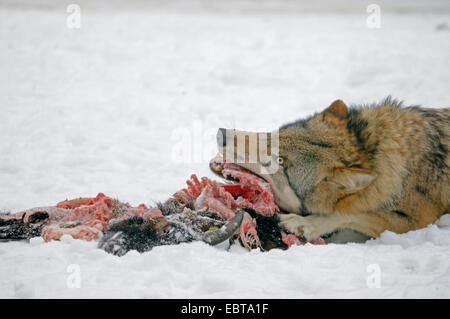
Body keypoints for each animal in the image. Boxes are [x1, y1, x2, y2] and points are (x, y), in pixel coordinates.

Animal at [216, 99, 448, 241]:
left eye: (278, 161)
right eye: (273, 135)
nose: (222, 134)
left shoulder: (418, 220)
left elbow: (351, 213)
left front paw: (304, 224)